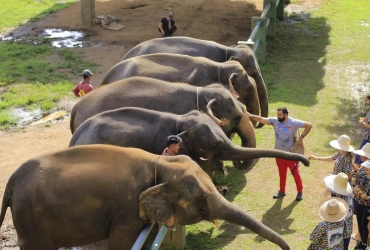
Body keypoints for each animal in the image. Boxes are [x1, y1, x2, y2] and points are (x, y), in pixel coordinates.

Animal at [0, 146, 290, 249]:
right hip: (30, 219)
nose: (287, 247)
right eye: (200, 201)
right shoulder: (125, 208)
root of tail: (12, 181)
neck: (159, 163)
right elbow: (120, 243)